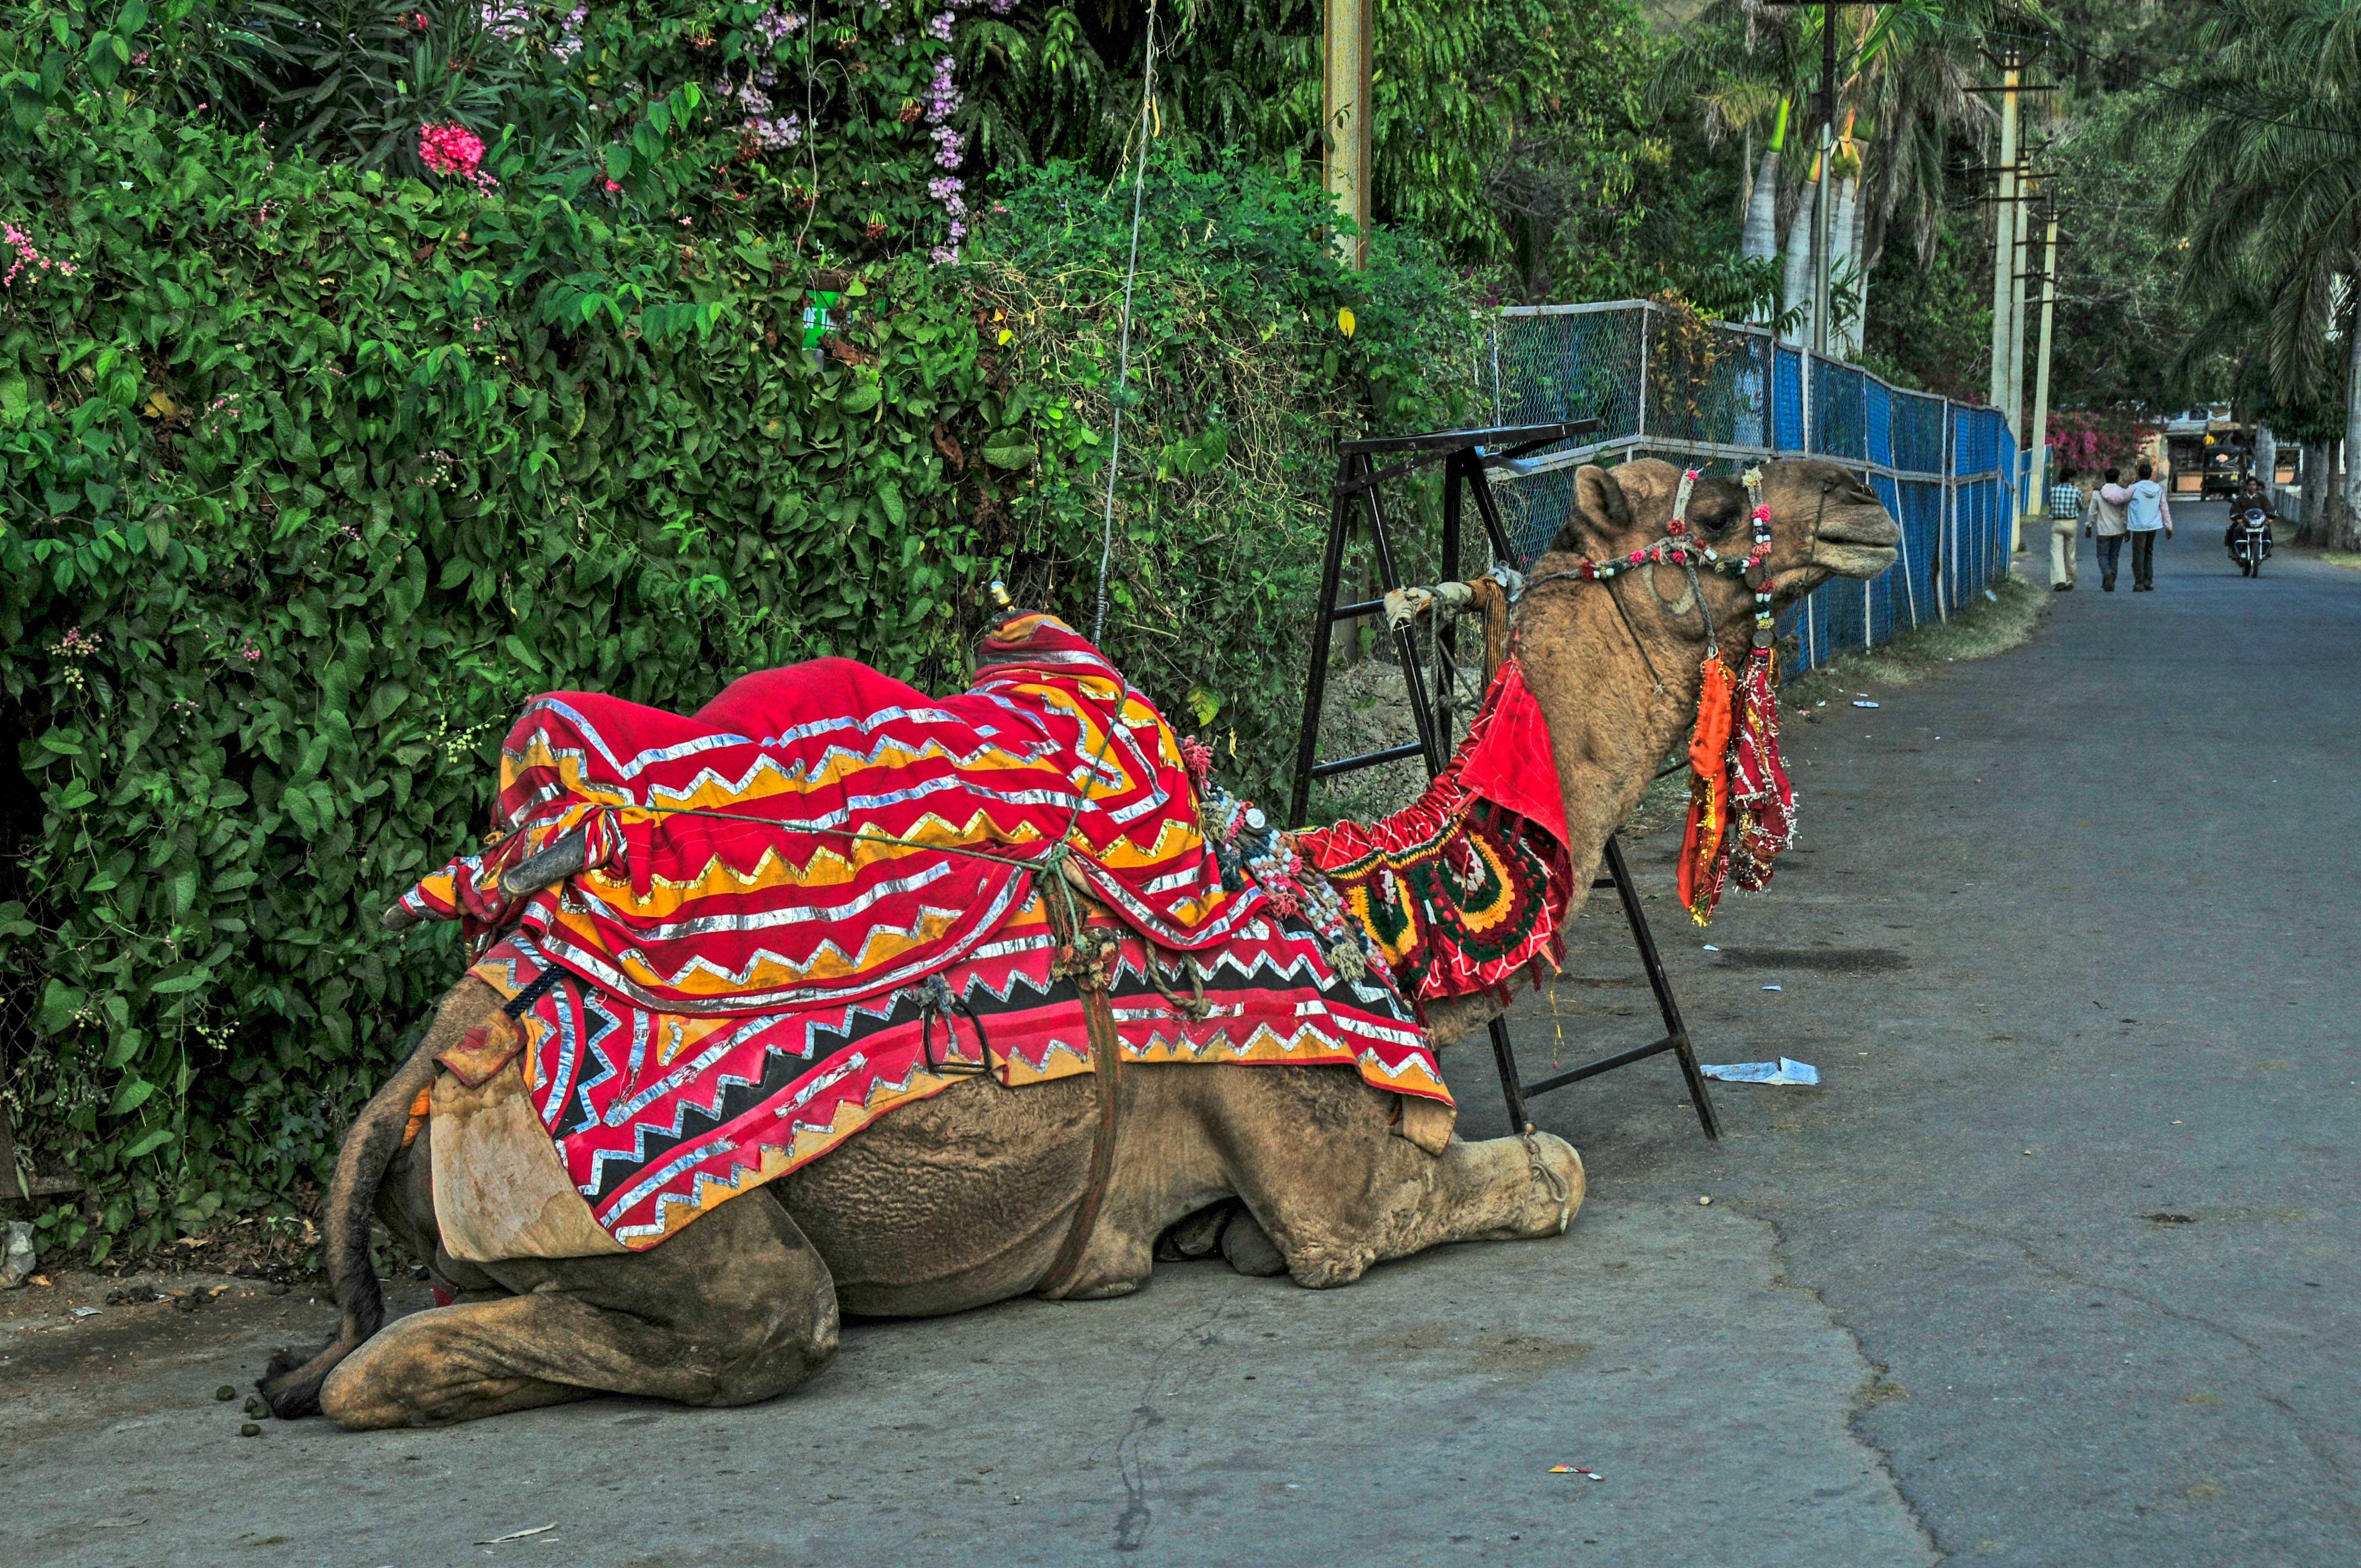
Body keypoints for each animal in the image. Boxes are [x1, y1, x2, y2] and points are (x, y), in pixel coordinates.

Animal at [259, 457, 1898, 1429]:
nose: (1867, 495)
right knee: (687, 1327)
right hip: (648, 1229)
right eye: (1721, 496)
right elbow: (1542, 1173)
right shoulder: (1328, 1180)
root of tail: (451, 1045)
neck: (1360, 911)